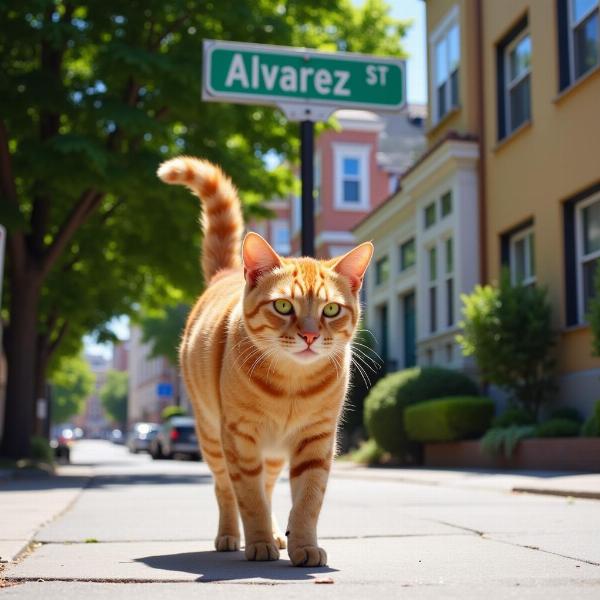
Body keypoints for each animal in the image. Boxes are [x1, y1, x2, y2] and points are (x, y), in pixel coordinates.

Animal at [157, 156, 370, 568]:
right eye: (284, 306)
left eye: (331, 310)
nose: (309, 335)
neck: (292, 384)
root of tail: (225, 274)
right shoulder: (240, 438)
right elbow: (249, 499)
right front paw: (257, 543)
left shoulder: (317, 440)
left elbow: (307, 501)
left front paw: (304, 544)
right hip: (212, 437)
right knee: (225, 489)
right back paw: (230, 536)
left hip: (270, 454)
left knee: (269, 486)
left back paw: (274, 533)